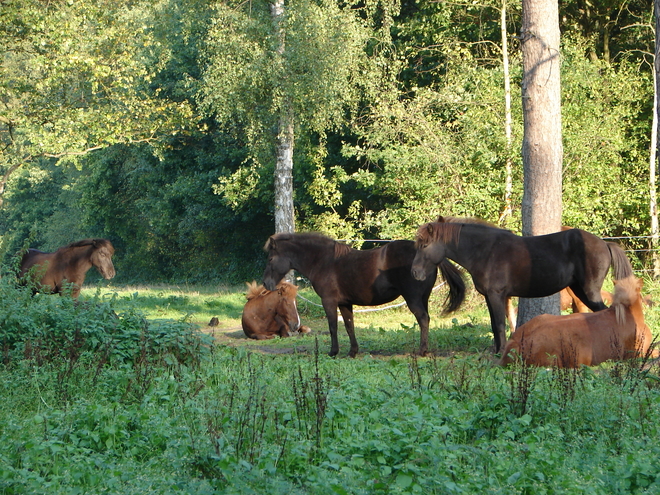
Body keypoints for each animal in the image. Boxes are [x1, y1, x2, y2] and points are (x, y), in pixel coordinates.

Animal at [260, 232, 466, 356]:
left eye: (270, 259)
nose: (266, 283)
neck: (324, 261)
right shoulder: (345, 303)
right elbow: (349, 326)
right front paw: (353, 351)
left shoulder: (329, 301)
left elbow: (333, 326)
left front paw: (333, 352)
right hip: (424, 298)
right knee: (427, 319)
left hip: (413, 299)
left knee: (423, 319)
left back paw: (422, 351)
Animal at [412, 217, 636, 352]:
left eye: (425, 245)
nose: (414, 272)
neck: (486, 251)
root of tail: (605, 243)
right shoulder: (491, 297)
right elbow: (494, 325)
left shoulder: (497, 295)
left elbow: (500, 325)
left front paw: (501, 353)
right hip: (580, 291)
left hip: (589, 292)